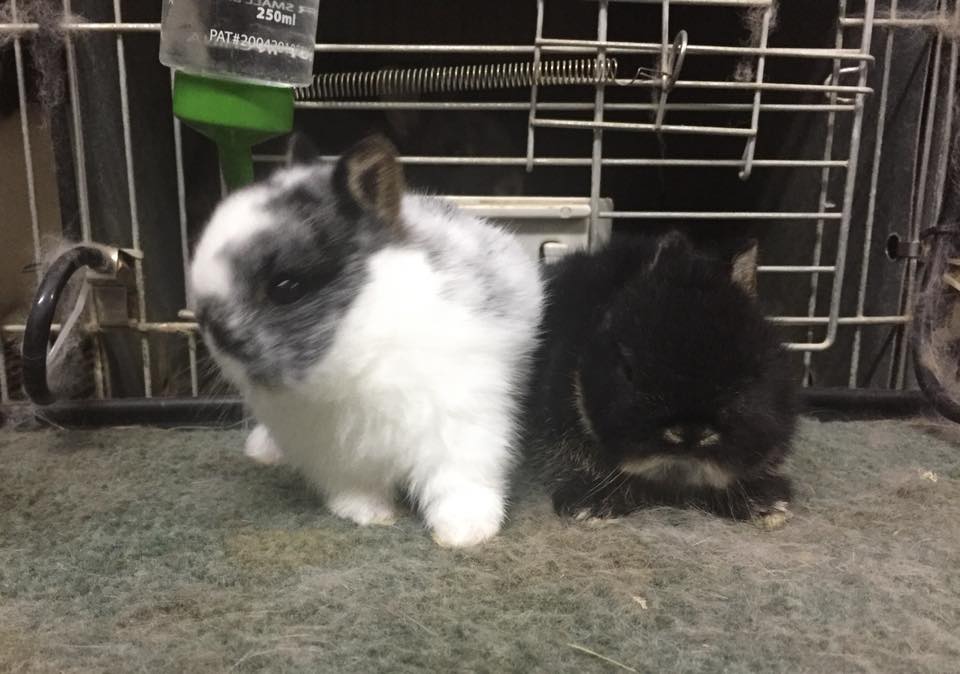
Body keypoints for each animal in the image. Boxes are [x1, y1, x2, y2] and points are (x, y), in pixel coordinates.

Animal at [189, 135, 544, 547]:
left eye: (287, 287)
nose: (213, 329)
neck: (358, 357)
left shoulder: (462, 425)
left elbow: (459, 483)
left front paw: (464, 533)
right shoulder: (334, 455)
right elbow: (355, 488)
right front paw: (369, 515)